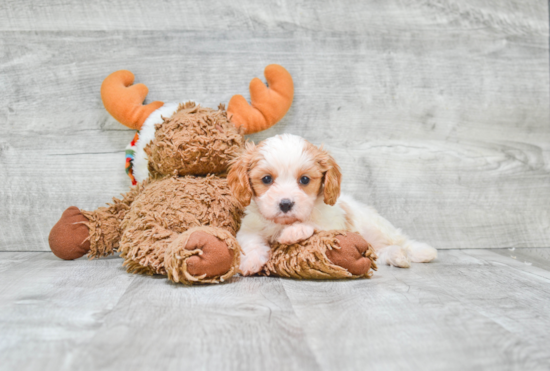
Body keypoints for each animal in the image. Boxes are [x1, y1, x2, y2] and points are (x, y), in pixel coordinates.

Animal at [226, 134, 438, 276]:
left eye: (304, 180)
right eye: (267, 179)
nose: (285, 204)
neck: (283, 223)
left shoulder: (333, 222)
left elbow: (315, 224)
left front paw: (294, 231)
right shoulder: (249, 228)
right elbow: (251, 241)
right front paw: (251, 261)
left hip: (378, 226)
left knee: (400, 239)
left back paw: (421, 251)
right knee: (380, 251)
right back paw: (397, 256)